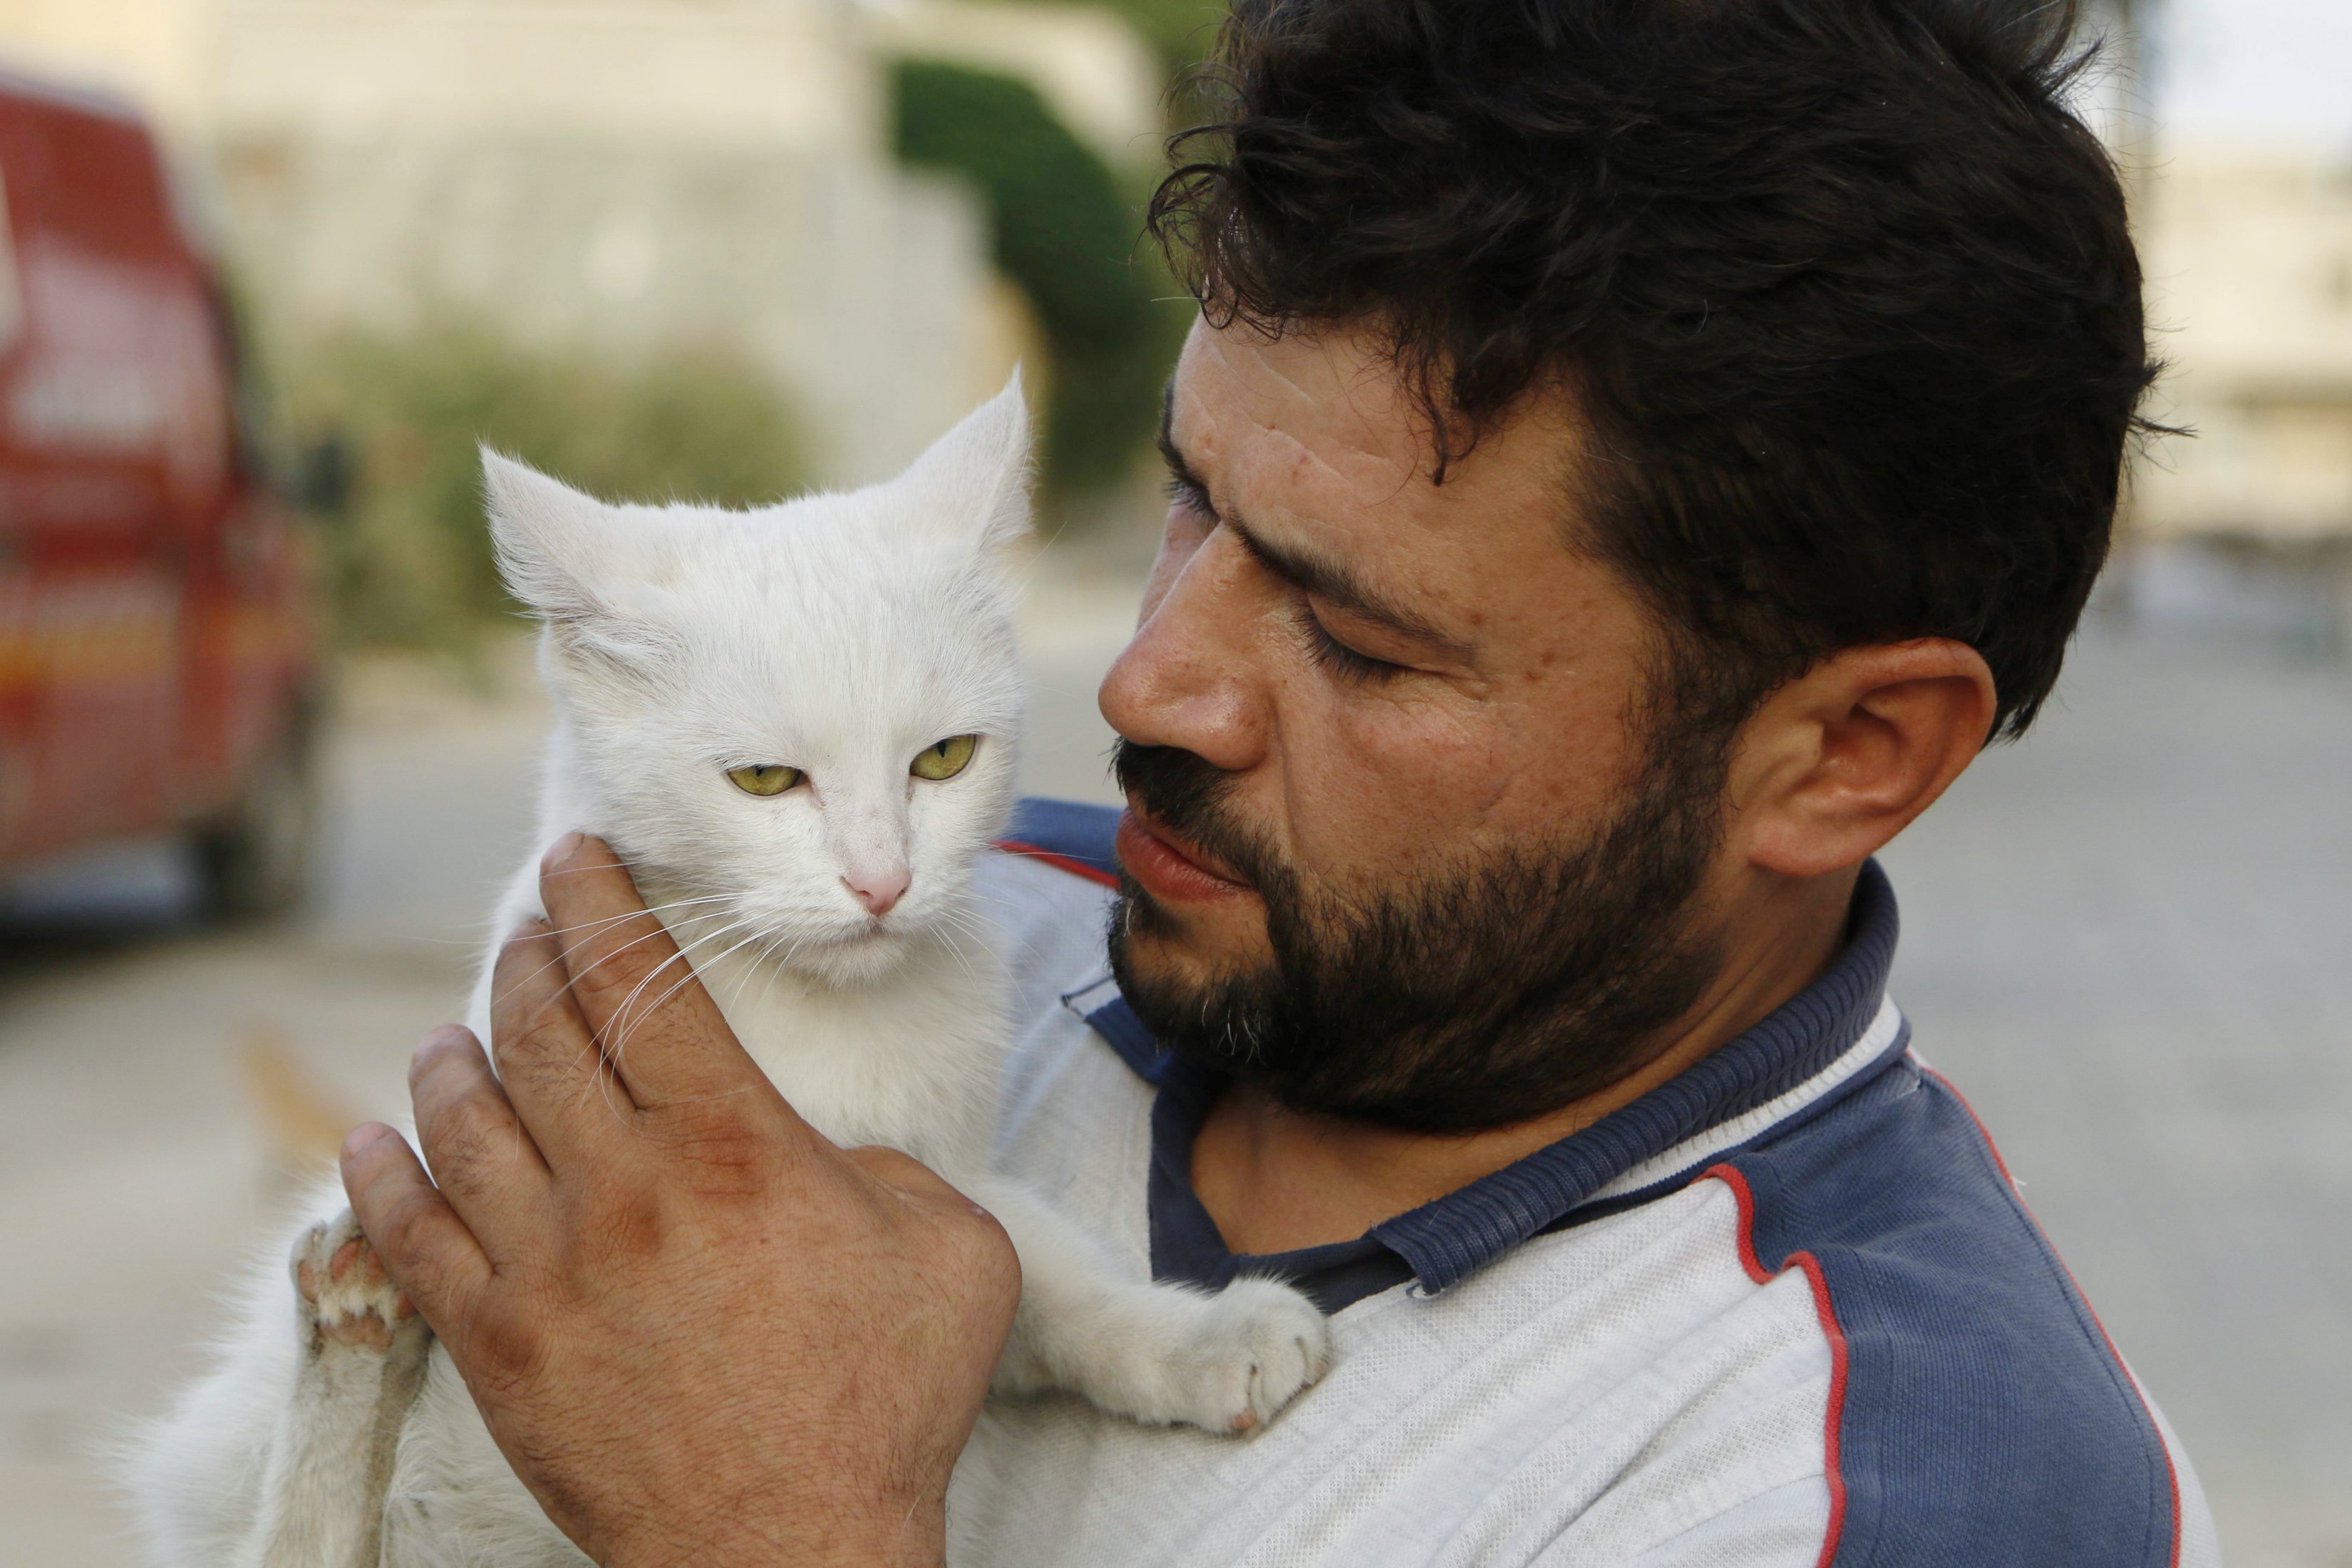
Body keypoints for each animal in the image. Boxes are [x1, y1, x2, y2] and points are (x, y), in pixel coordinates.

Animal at [128, 383, 1336, 1568]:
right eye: (764, 780)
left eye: (944, 759)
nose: (883, 882)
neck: (811, 1018)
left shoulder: (940, 1187)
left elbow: (1051, 1274)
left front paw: (1199, 1337)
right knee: (295, 1544)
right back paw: (351, 1331)